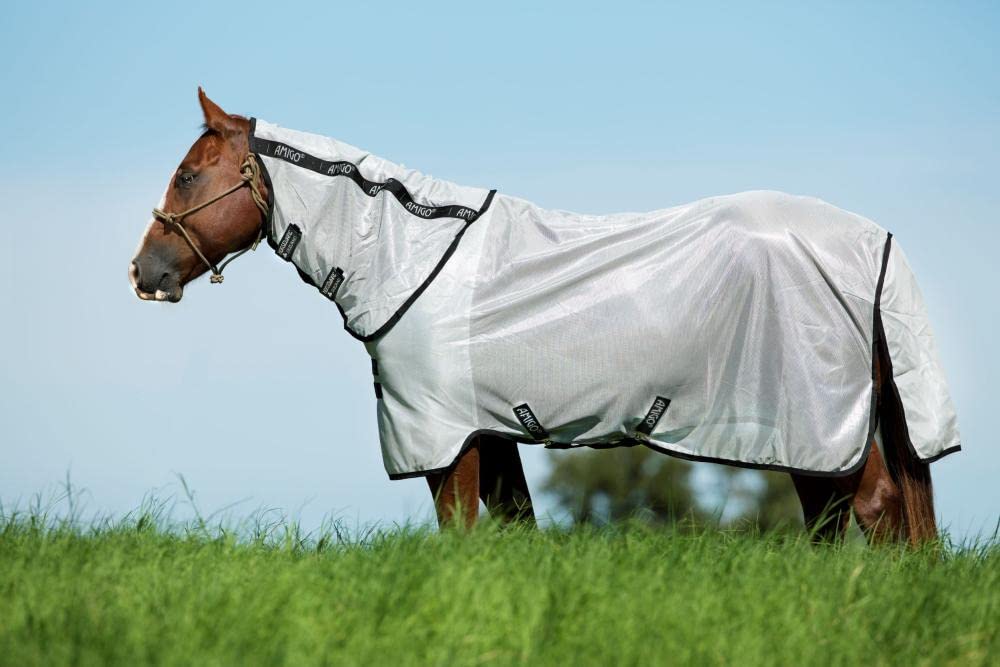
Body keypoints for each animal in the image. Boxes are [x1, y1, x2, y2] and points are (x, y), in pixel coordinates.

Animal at [130, 89, 959, 545]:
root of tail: (872, 240)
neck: (413, 255)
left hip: (816, 424)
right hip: (808, 437)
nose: (144, 273)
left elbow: (460, 531)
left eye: (188, 174)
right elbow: (511, 528)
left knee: (876, 509)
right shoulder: (490, 432)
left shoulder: (447, 436)